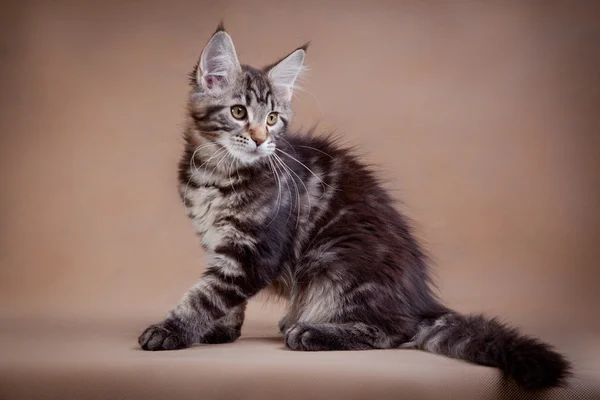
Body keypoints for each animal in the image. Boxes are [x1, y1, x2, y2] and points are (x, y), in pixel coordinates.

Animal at [139, 22, 572, 390]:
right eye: (239, 112)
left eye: (274, 118)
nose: (261, 139)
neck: (216, 174)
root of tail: (421, 304)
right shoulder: (220, 244)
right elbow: (222, 296)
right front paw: (220, 330)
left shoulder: (253, 252)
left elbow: (205, 295)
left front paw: (171, 330)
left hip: (336, 256)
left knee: (393, 333)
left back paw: (309, 331)